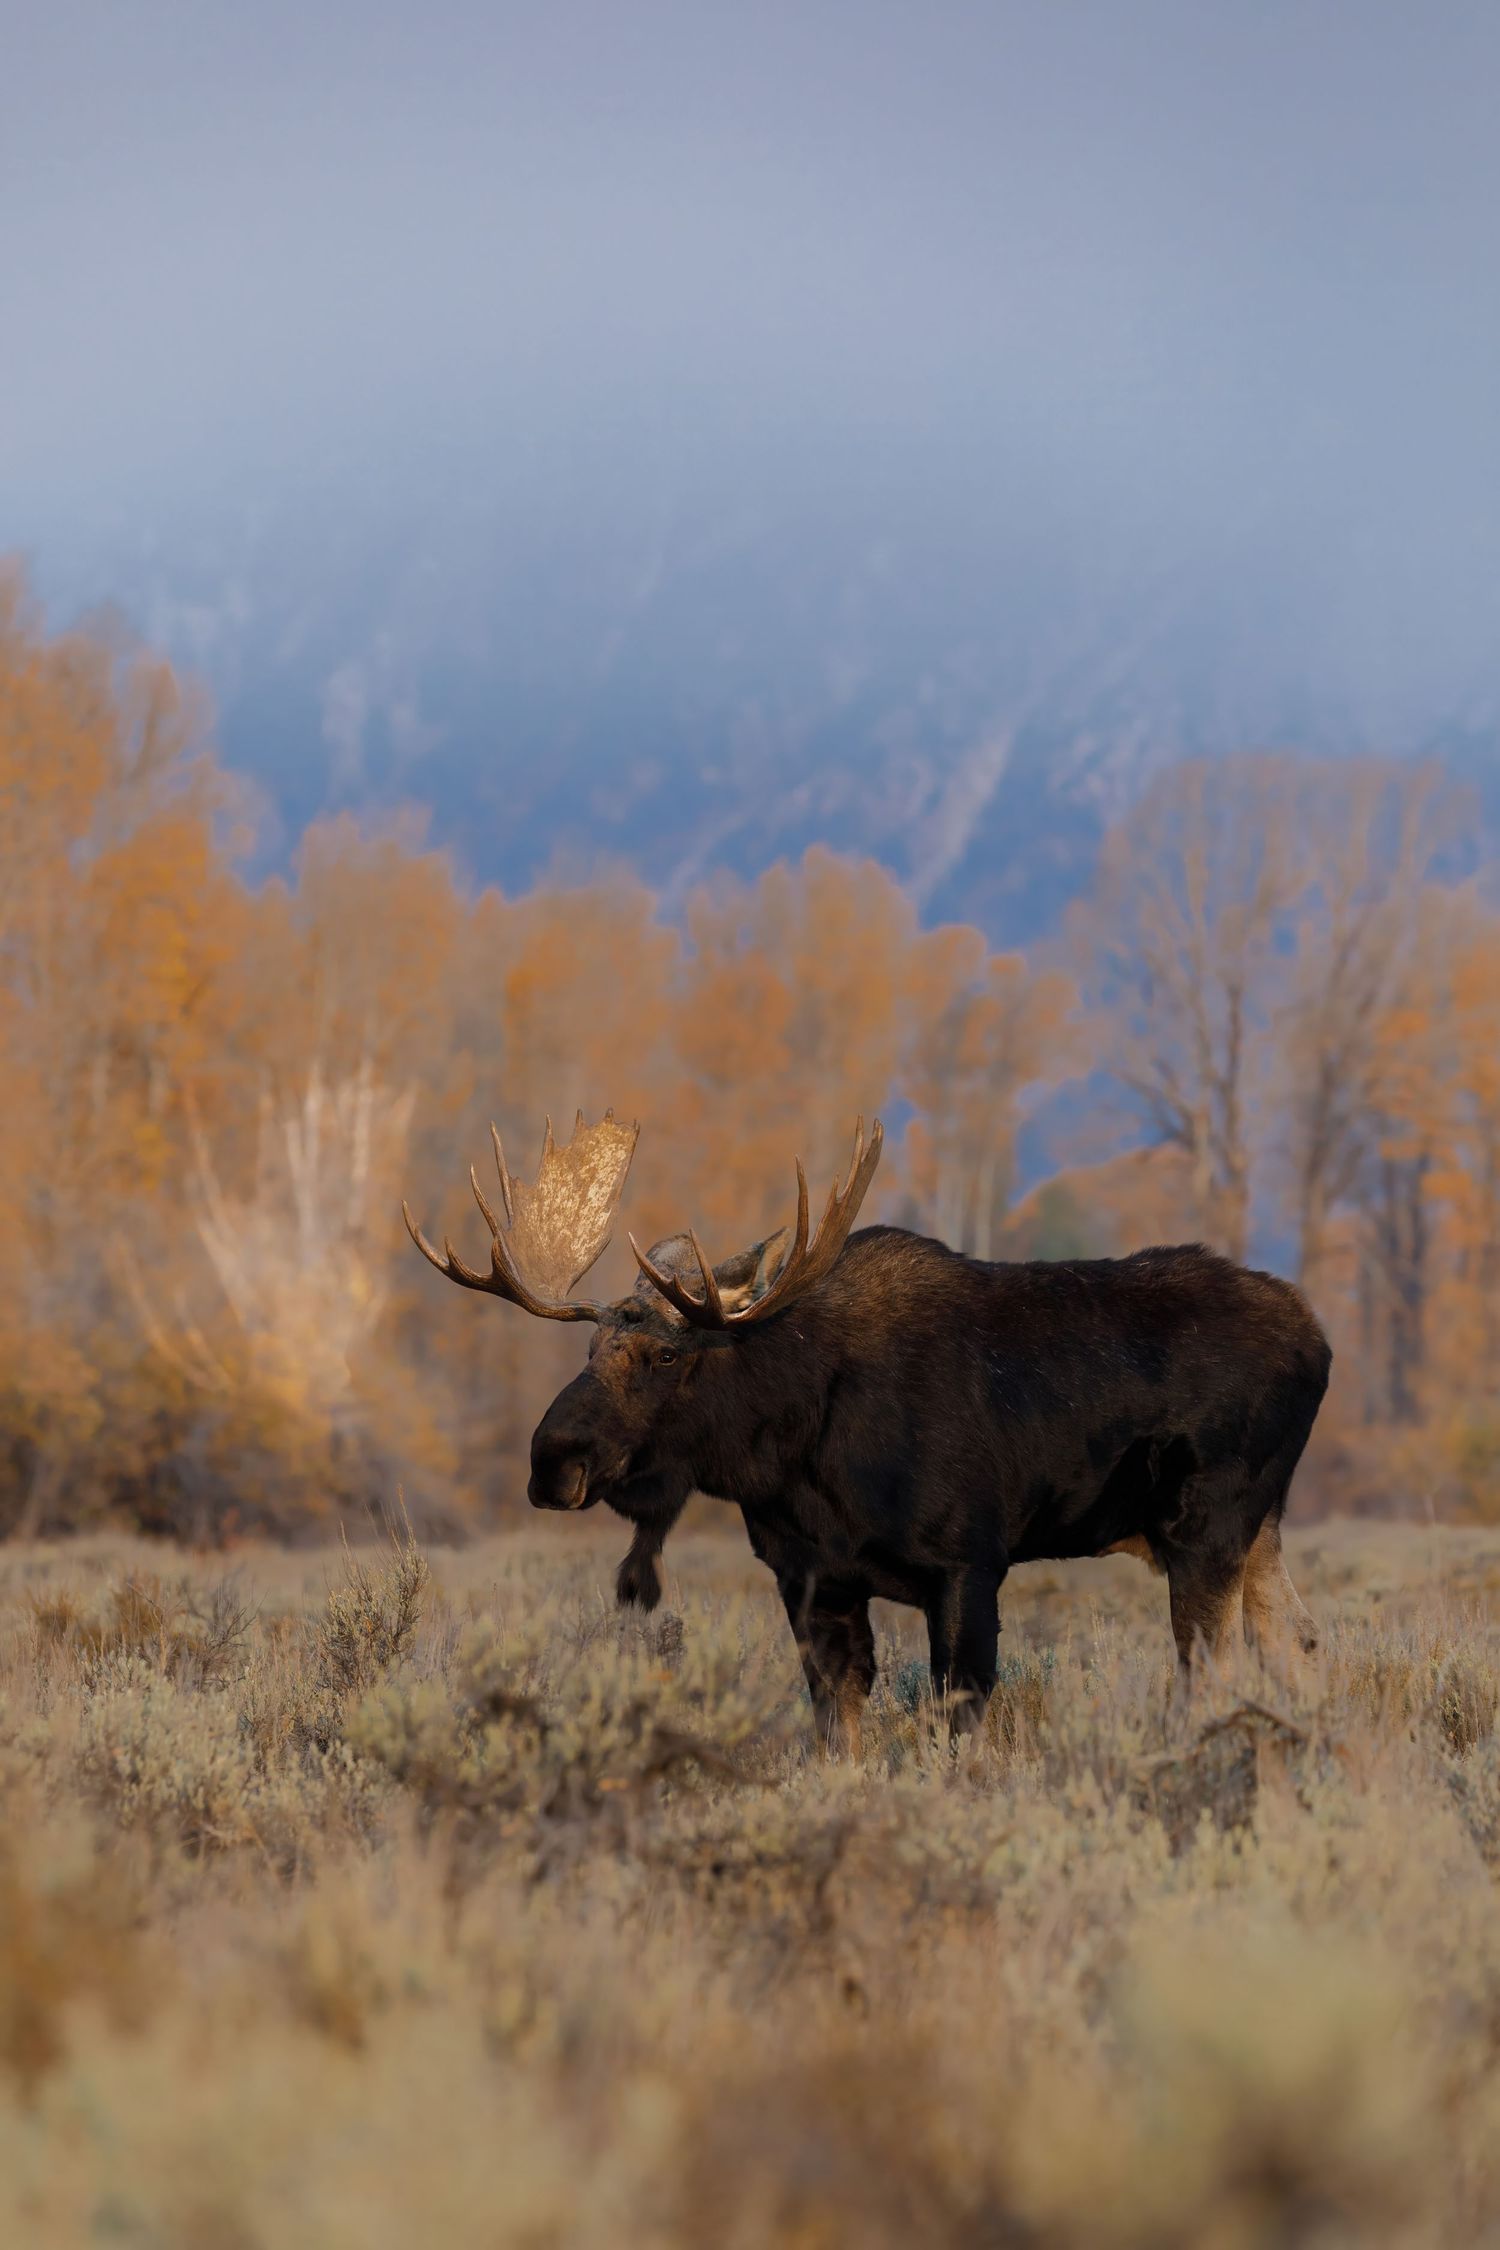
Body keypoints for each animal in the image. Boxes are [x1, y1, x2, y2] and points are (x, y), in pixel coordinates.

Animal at [404, 1111, 1327, 1751]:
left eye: (664, 1355)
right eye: (589, 1348)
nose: (551, 1461)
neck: (792, 1460)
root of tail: (1319, 1337)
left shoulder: (968, 1564)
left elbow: (960, 1728)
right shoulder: (811, 1578)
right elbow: (837, 1733)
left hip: (1206, 1525)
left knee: (1218, 1672)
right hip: (1257, 1528)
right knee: (1297, 1648)